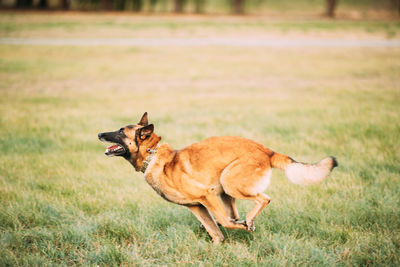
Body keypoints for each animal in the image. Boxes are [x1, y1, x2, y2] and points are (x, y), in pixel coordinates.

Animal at [97, 113, 338, 245]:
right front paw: (217, 245)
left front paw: (241, 228)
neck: (153, 155)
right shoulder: (196, 206)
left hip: (229, 183)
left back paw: (249, 223)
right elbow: (215, 230)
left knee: (262, 200)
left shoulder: (207, 196)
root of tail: (267, 151)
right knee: (236, 213)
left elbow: (223, 222)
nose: (99, 134)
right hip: (226, 192)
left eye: (121, 132)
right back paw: (245, 221)